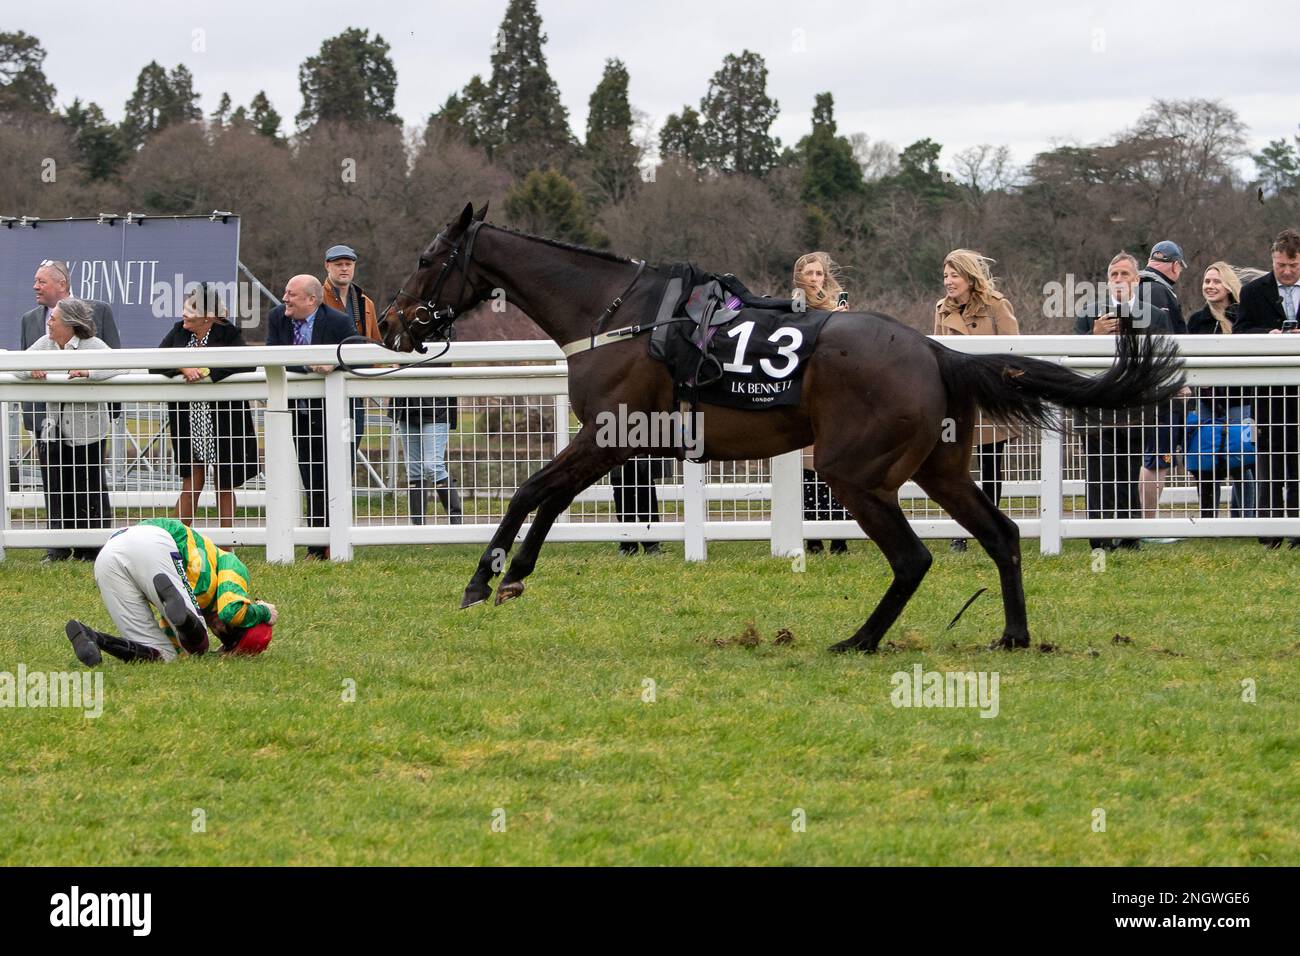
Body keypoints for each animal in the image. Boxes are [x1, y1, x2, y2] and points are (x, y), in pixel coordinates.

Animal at [379, 201, 1190, 650]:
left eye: (426, 257)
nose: (390, 323)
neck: (617, 313)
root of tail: (937, 350)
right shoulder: (622, 443)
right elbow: (547, 498)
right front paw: (512, 575)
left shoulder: (613, 433)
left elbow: (531, 492)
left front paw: (483, 580)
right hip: (941, 468)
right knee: (1002, 534)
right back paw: (1014, 635)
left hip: (855, 473)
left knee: (913, 559)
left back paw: (859, 640)